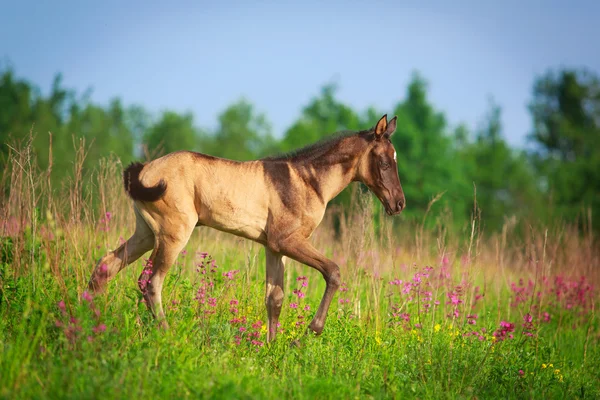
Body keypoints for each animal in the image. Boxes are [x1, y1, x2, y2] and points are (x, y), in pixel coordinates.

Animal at [89, 114, 406, 342]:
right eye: (383, 161)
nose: (399, 203)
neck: (307, 181)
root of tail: (143, 171)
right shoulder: (288, 240)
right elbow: (333, 271)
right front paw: (306, 334)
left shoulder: (273, 247)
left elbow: (274, 298)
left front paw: (272, 347)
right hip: (173, 234)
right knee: (151, 282)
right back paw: (166, 333)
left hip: (145, 232)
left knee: (106, 265)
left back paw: (93, 318)